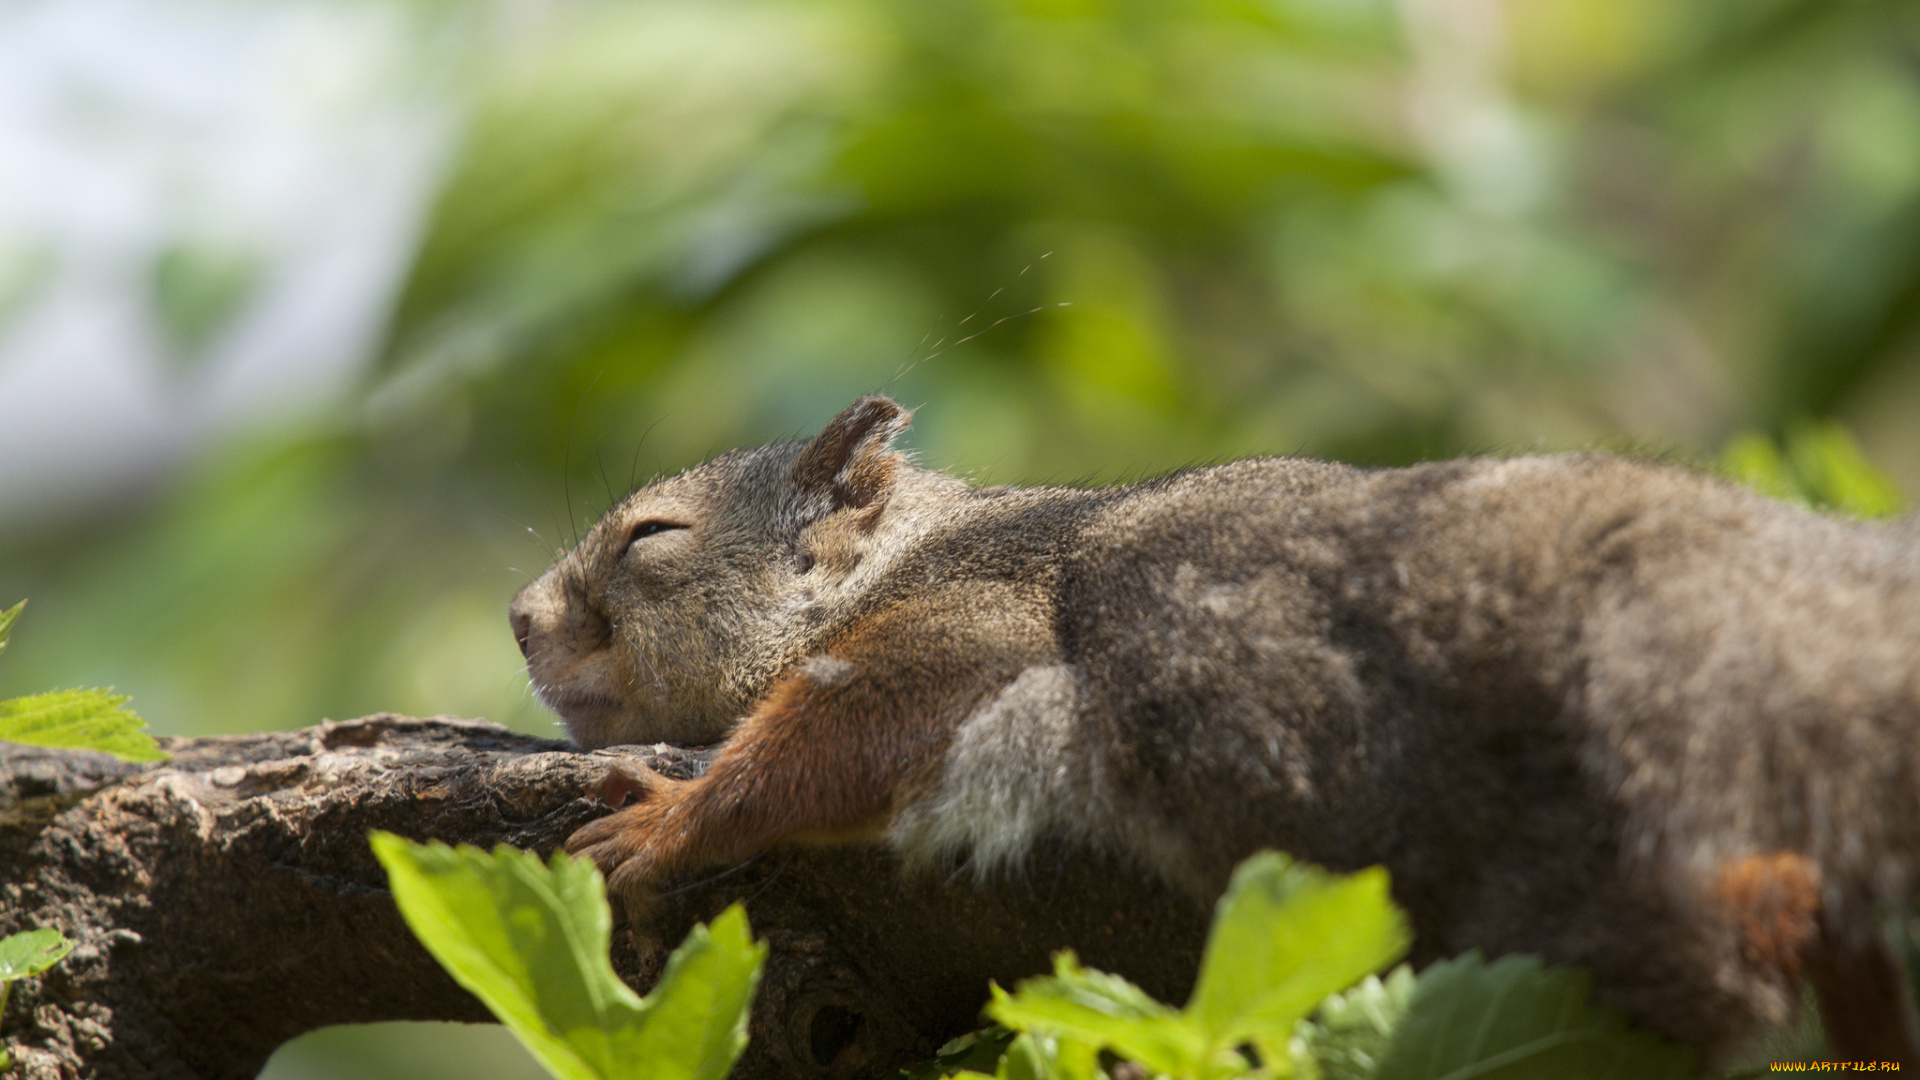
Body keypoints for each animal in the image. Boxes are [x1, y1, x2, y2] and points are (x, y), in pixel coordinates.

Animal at [510, 393, 1920, 1060]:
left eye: (651, 539)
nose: (520, 619)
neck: (904, 556)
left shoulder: (975, 620)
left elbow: (856, 727)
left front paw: (675, 819)